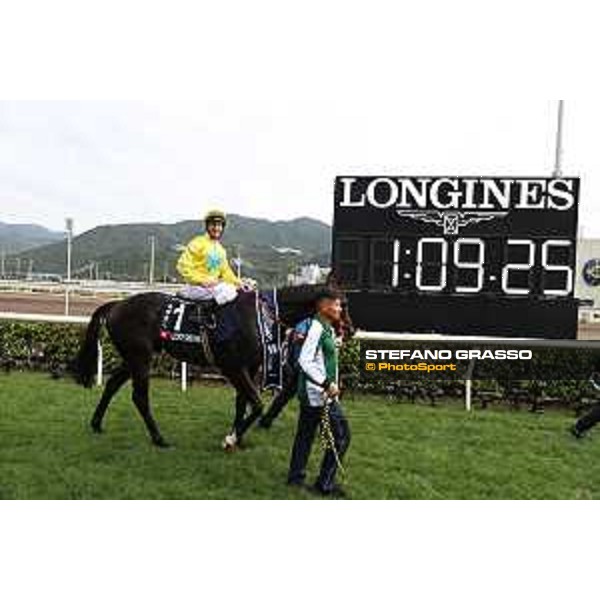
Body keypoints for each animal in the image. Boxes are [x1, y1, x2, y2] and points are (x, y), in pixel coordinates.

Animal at [77, 282, 354, 450]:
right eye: (342, 304)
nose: (351, 330)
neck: (260, 317)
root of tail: (117, 304)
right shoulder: (233, 367)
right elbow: (256, 404)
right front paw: (231, 438)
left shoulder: (249, 368)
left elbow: (243, 403)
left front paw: (237, 437)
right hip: (140, 357)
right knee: (139, 397)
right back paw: (158, 438)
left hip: (133, 357)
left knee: (113, 384)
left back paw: (96, 423)